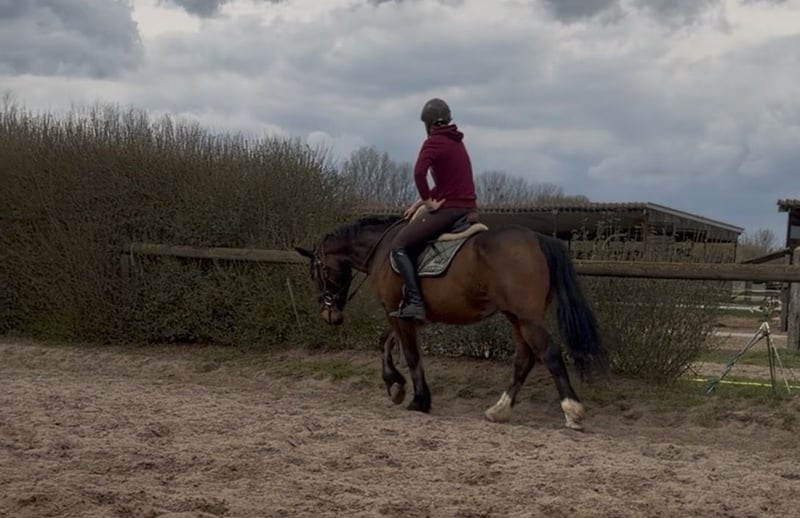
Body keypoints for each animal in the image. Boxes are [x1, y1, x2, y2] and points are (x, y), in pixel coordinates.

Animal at [294, 208, 608, 430]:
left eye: (315, 272)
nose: (329, 314)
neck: (382, 250)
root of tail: (537, 238)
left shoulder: (398, 314)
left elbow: (410, 355)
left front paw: (418, 399)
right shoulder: (404, 313)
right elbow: (386, 343)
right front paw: (395, 385)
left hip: (526, 318)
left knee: (549, 354)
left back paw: (572, 412)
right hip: (517, 317)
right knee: (525, 359)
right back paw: (499, 410)